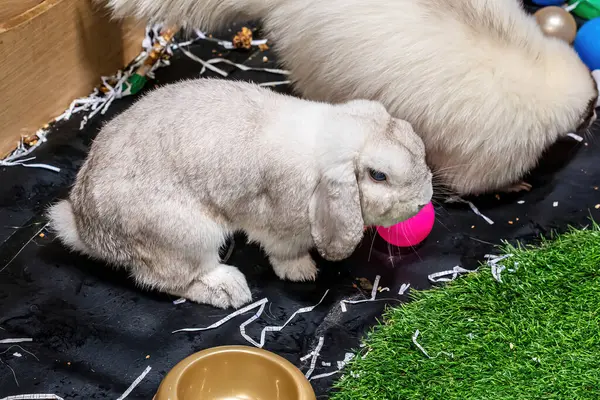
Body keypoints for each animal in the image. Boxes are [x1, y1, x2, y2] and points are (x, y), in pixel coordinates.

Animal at [47, 79, 432, 310]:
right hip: (186, 236)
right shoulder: (280, 224)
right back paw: (229, 290)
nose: (424, 200)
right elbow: (284, 253)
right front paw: (303, 272)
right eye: (379, 175)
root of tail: (86, 230)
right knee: (163, 280)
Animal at [105, 0, 596, 195]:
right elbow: (477, 179)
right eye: (591, 107)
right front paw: (514, 185)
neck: (536, 65)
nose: (592, 118)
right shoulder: (496, 143)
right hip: (320, 65)